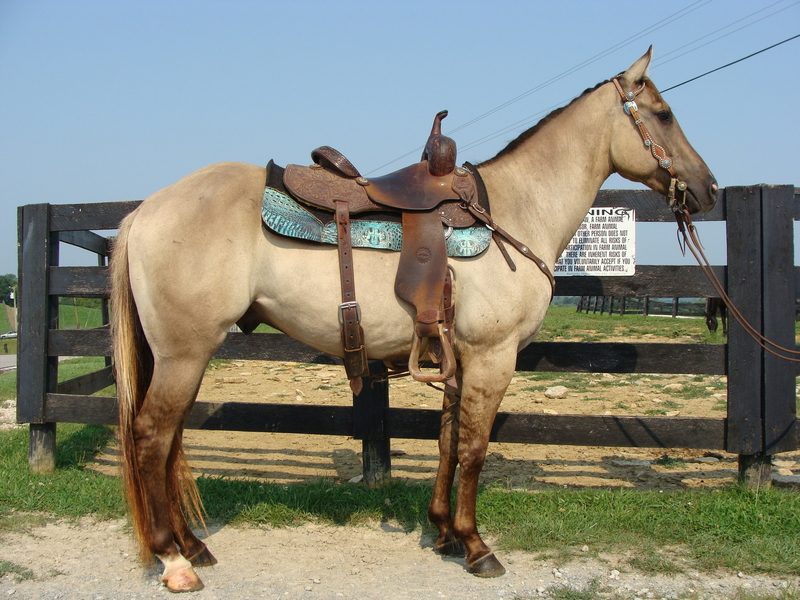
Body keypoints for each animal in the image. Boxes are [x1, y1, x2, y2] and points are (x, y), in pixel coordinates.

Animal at [111, 48, 717, 592]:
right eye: (664, 113)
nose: (707, 189)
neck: (514, 210)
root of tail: (145, 211)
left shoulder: (459, 358)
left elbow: (449, 442)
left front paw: (444, 532)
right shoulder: (493, 358)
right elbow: (474, 449)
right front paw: (476, 546)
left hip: (186, 356)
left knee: (170, 441)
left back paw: (194, 546)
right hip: (184, 353)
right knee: (151, 437)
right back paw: (174, 560)